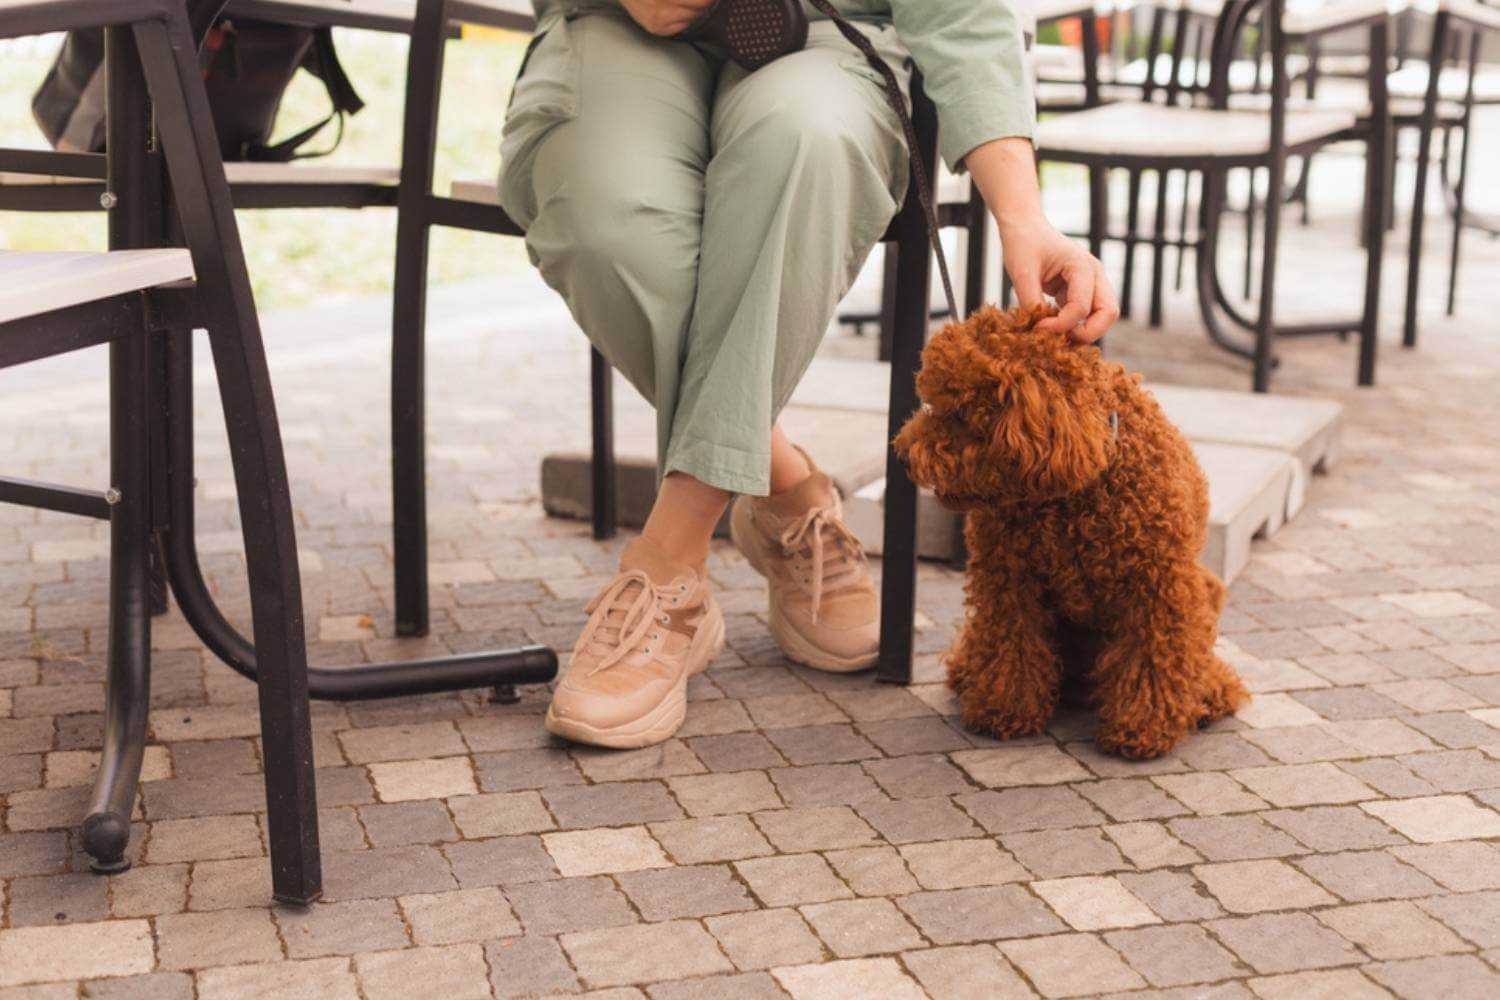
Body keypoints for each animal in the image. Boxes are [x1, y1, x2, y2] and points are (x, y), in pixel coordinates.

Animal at [894, 305, 1248, 758]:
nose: (903, 455)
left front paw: (1142, 728)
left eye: (958, 414)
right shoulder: (1008, 580)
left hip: (1200, 590)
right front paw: (1003, 709)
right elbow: (1012, 644)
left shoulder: (1157, 587)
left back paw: (1208, 694)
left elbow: (1152, 655)